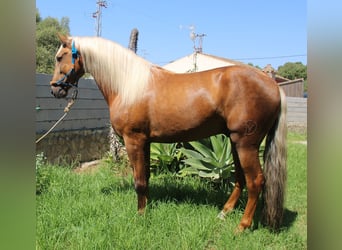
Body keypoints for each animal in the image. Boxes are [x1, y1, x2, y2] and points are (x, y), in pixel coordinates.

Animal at [50, 34, 286, 231]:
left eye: (60, 57)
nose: (54, 89)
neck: (129, 86)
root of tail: (272, 85)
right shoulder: (145, 142)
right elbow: (145, 177)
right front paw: (146, 208)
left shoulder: (133, 140)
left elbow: (139, 181)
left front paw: (140, 216)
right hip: (236, 142)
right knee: (241, 179)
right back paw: (224, 213)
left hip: (246, 144)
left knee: (256, 181)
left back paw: (242, 226)